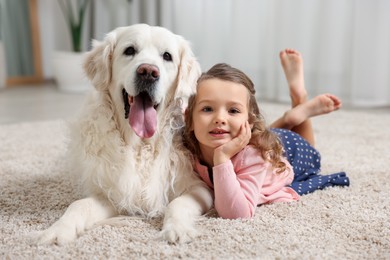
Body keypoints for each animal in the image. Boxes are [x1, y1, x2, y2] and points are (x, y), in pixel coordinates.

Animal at [38, 23, 212, 245]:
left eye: (167, 56)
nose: (148, 72)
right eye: (129, 50)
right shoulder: (112, 192)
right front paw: (58, 230)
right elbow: (78, 205)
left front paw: (177, 229)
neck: (140, 145)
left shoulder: (199, 188)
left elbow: (177, 204)